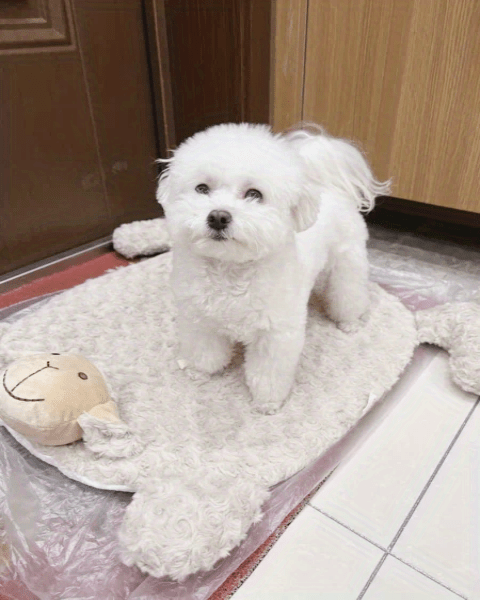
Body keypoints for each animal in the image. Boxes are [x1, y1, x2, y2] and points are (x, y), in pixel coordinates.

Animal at [158, 122, 390, 412]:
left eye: (254, 194)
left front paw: (267, 403)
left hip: (348, 262)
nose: (218, 216)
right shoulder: (200, 321)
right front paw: (199, 372)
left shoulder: (275, 335)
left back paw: (350, 322)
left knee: (349, 294)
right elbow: (204, 352)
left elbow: (267, 373)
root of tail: (331, 185)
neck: (230, 270)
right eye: (202, 188)